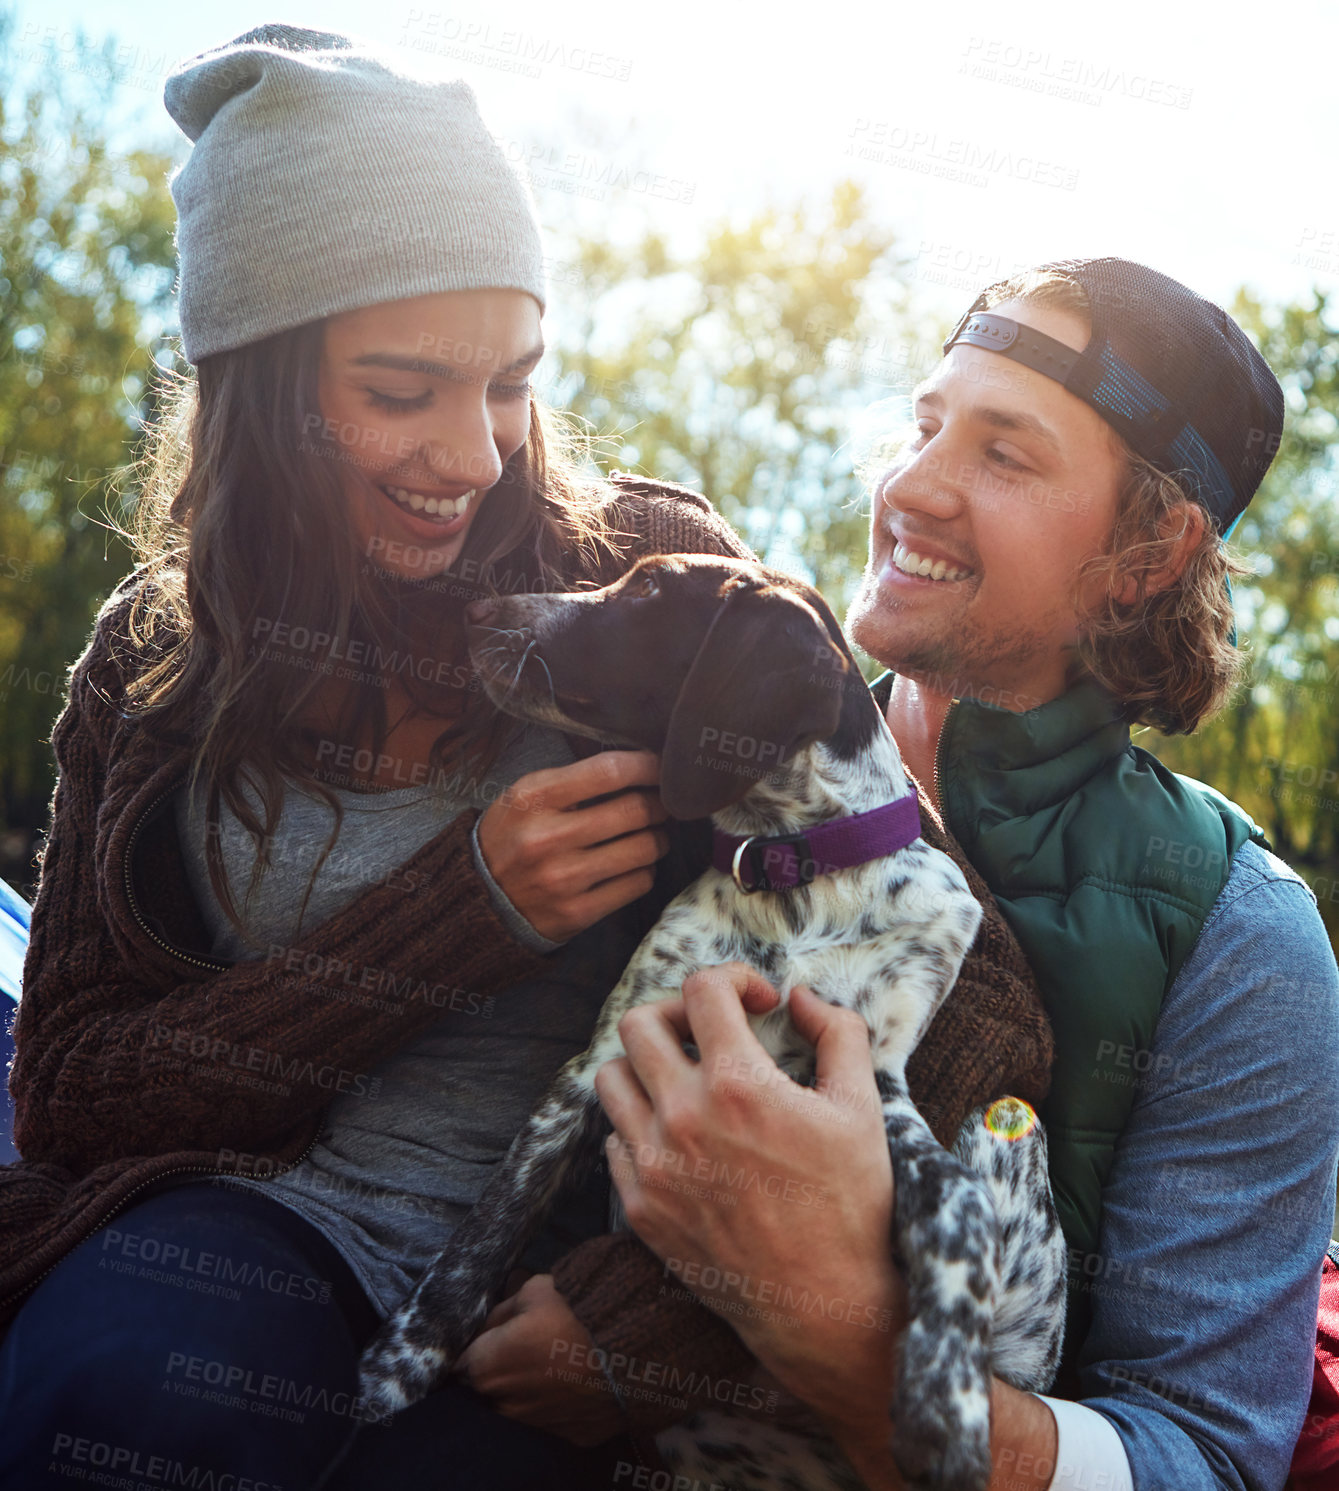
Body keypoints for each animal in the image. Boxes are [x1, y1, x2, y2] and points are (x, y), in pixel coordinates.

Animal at [354, 557, 1061, 1491]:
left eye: (649, 591)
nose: (475, 611)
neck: (795, 868)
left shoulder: (875, 1091)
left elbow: (959, 1209)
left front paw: (945, 1404)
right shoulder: (598, 1061)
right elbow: (486, 1228)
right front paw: (395, 1368)